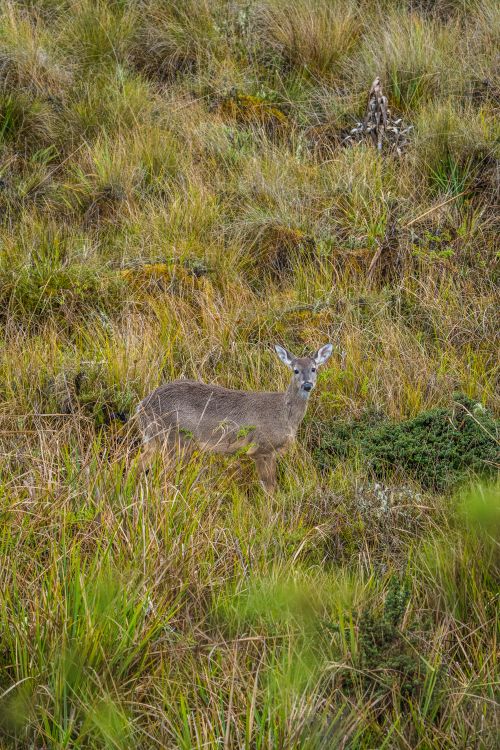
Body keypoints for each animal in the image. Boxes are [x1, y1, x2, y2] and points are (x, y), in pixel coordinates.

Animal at [135, 343, 333, 493]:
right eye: (295, 370)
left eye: (314, 369)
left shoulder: (270, 452)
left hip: (156, 440)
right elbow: (269, 486)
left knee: (137, 463)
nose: (307, 385)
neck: (285, 415)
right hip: (174, 441)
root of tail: (142, 406)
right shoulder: (260, 448)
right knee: (161, 475)